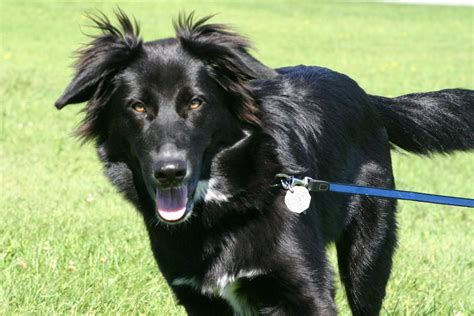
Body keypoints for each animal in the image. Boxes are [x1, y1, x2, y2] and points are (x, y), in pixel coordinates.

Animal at [54, 11, 470, 314]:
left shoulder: (307, 291)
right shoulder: (199, 299)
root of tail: (367, 97)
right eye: (137, 107)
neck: (220, 207)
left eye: (196, 102)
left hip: (368, 254)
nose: (169, 172)